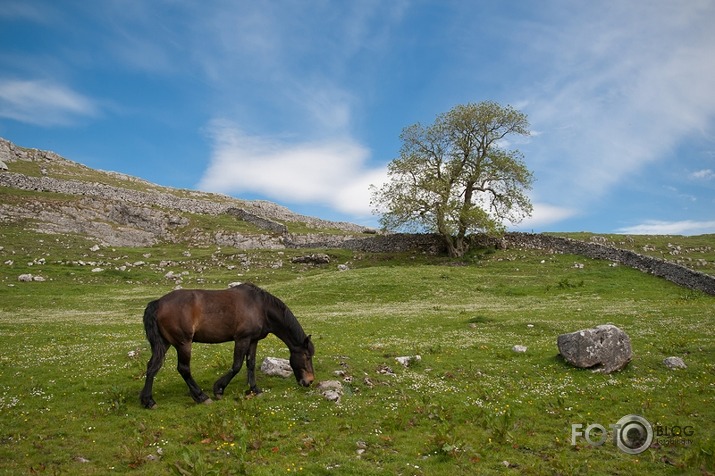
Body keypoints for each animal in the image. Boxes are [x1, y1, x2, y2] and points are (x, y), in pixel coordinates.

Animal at [140, 282, 314, 410]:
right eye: (306, 356)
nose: (310, 381)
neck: (260, 307)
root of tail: (158, 303)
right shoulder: (242, 339)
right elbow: (237, 365)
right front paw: (219, 389)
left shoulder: (253, 340)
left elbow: (250, 364)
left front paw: (254, 390)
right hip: (183, 344)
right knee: (183, 369)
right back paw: (202, 397)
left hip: (164, 343)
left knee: (152, 367)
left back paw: (148, 401)